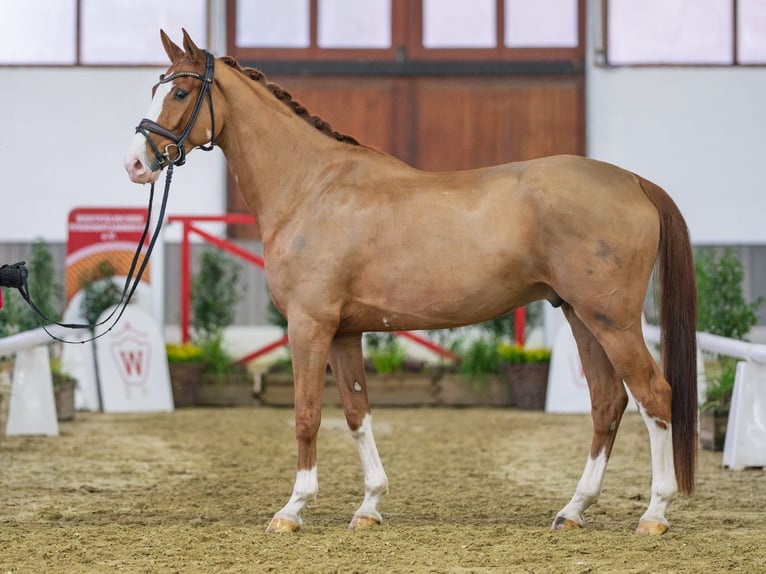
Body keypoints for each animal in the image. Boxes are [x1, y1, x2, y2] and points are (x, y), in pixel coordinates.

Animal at [125, 30, 697, 536]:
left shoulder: (309, 326)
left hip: (613, 322)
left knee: (654, 395)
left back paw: (655, 513)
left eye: (179, 92)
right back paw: (573, 510)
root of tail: (633, 181)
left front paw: (292, 510)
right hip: (581, 317)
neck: (312, 186)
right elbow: (356, 413)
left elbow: (307, 414)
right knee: (608, 402)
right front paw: (369, 506)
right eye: (155, 86)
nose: (136, 164)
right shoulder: (344, 333)